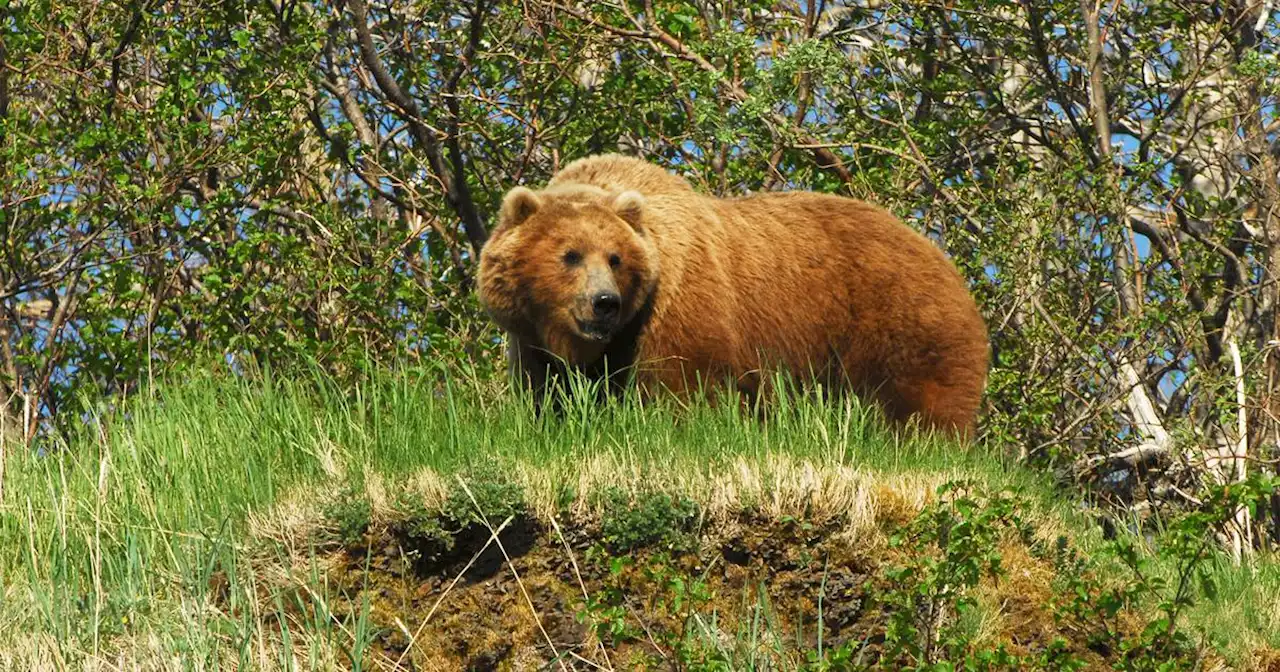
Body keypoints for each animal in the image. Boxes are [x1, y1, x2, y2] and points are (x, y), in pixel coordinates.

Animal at [481, 152, 988, 435]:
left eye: (615, 258)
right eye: (570, 254)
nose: (605, 303)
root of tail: (942, 257)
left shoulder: (675, 314)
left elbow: (685, 390)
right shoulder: (536, 345)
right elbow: (550, 395)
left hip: (900, 319)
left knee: (922, 404)